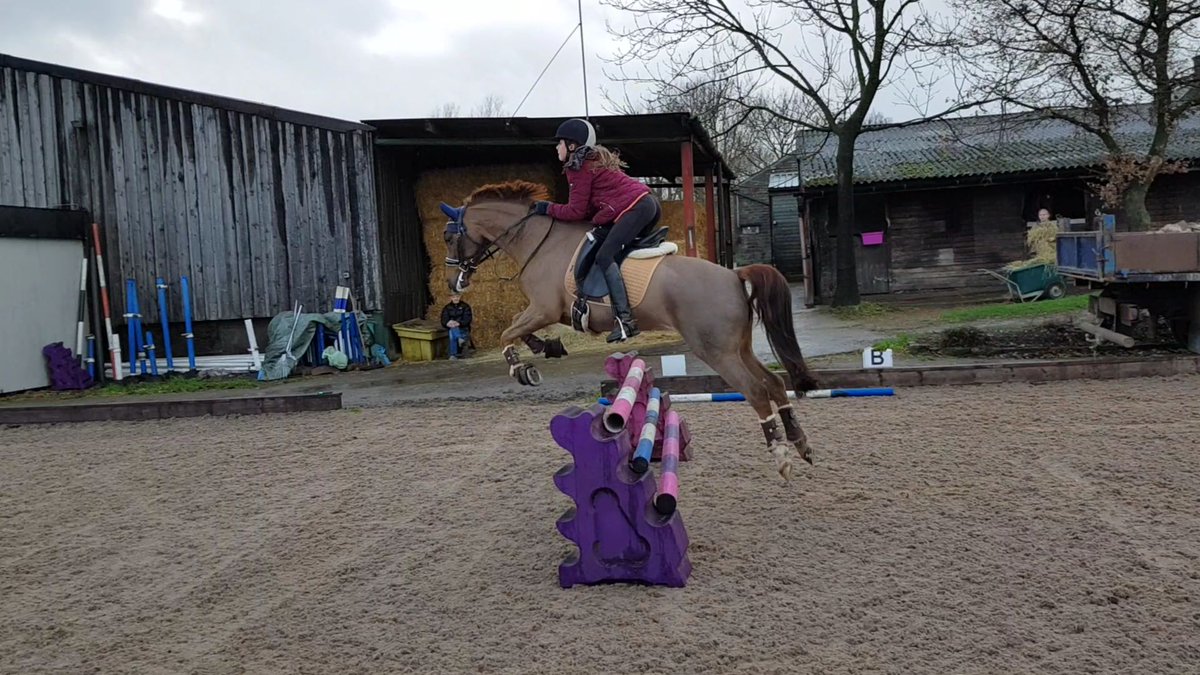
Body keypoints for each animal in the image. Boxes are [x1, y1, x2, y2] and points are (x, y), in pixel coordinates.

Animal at [438, 180, 819, 479]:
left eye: (447, 237)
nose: (453, 282)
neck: (538, 241)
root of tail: (733, 275)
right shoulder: (547, 312)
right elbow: (518, 330)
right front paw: (544, 349)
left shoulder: (543, 308)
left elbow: (508, 332)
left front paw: (522, 369)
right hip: (739, 348)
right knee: (775, 383)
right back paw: (801, 444)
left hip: (716, 352)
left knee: (756, 391)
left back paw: (781, 457)